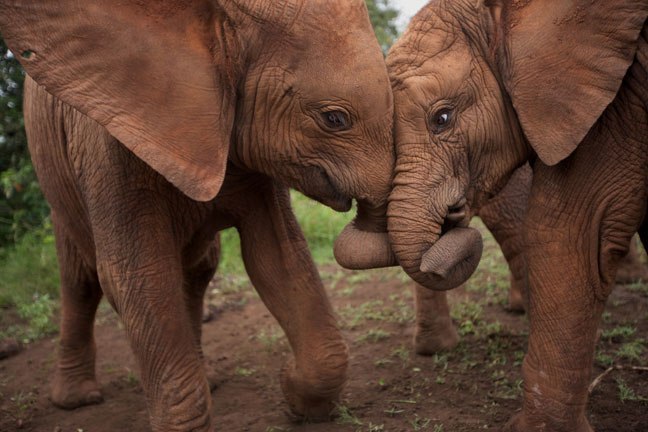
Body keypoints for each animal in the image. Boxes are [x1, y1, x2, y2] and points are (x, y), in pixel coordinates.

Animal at [0, 1, 394, 430]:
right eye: (333, 119)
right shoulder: (109, 137)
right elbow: (138, 276)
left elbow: (278, 257)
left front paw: (292, 394)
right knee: (80, 279)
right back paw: (78, 400)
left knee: (198, 270)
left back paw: (210, 380)